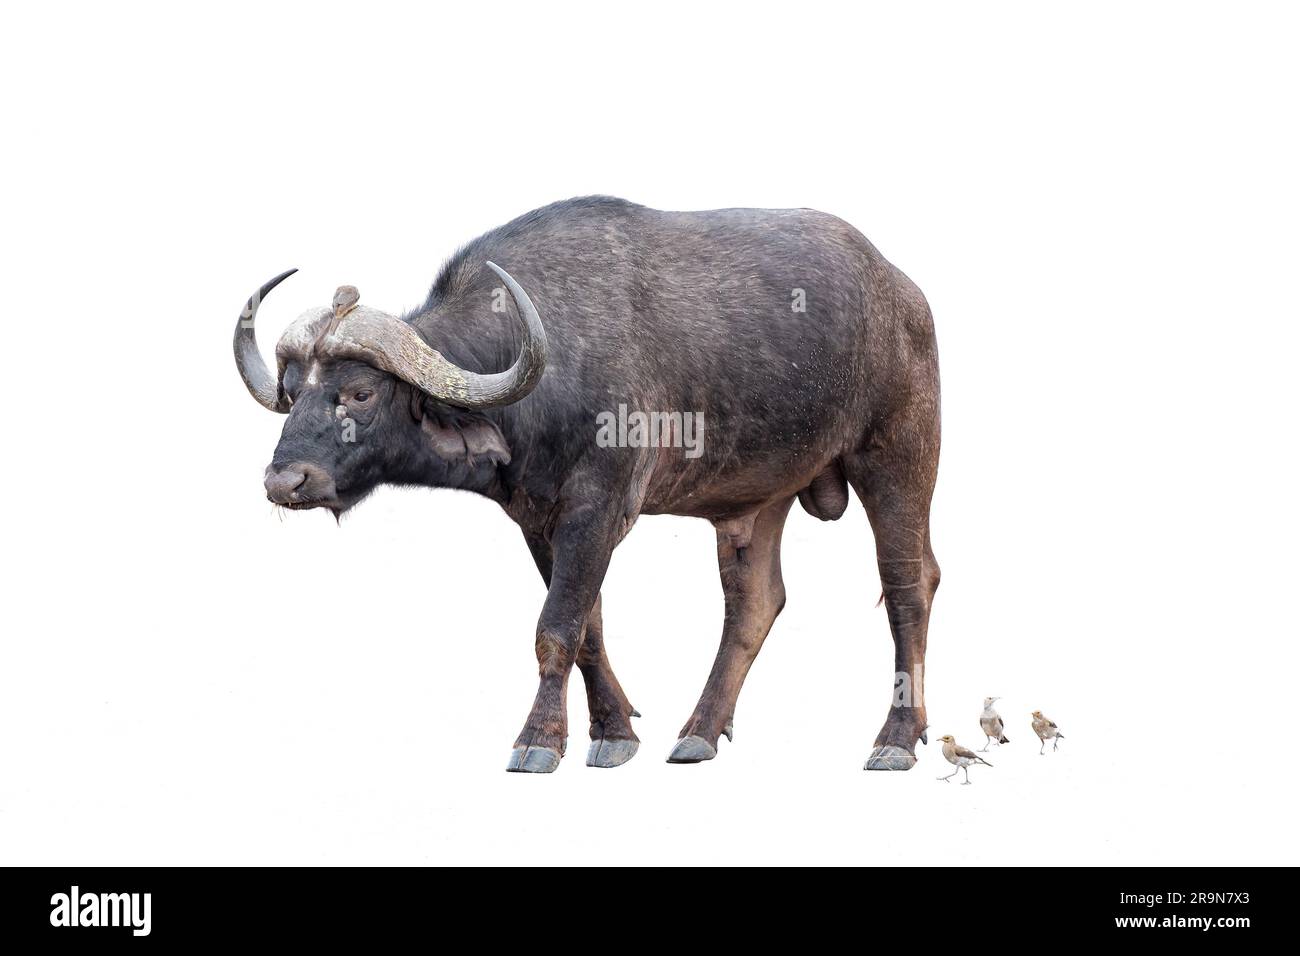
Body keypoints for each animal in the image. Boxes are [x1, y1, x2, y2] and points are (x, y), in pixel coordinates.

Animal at [233, 195, 941, 770]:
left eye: (360, 392)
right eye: (292, 391)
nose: (286, 480)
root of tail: (902, 292)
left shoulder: (599, 509)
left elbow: (556, 627)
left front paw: (538, 741)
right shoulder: (539, 519)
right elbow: (587, 628)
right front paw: (613, 733)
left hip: (900, 457)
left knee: (909, 585)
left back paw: (896, 740)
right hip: (759, 495)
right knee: (754, 602)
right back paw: (699, 733)